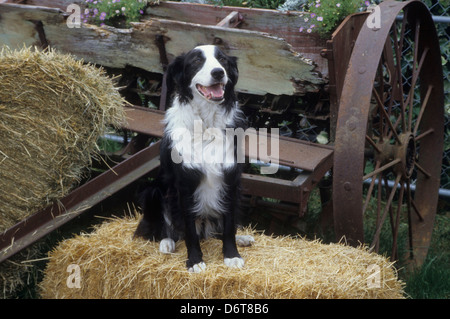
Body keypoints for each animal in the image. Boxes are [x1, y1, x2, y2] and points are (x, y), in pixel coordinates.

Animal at [134, 45, 253, 274]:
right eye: (197, 61)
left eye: (222, 60)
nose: (218, 73)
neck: (207, 123)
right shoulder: (185, 184)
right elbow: (189, 229)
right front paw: (195, 261)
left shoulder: (231, 180)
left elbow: (229, 224)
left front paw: (232, 255)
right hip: (152, 192)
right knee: (163, 227)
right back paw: (167, 243)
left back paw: (243, 238)